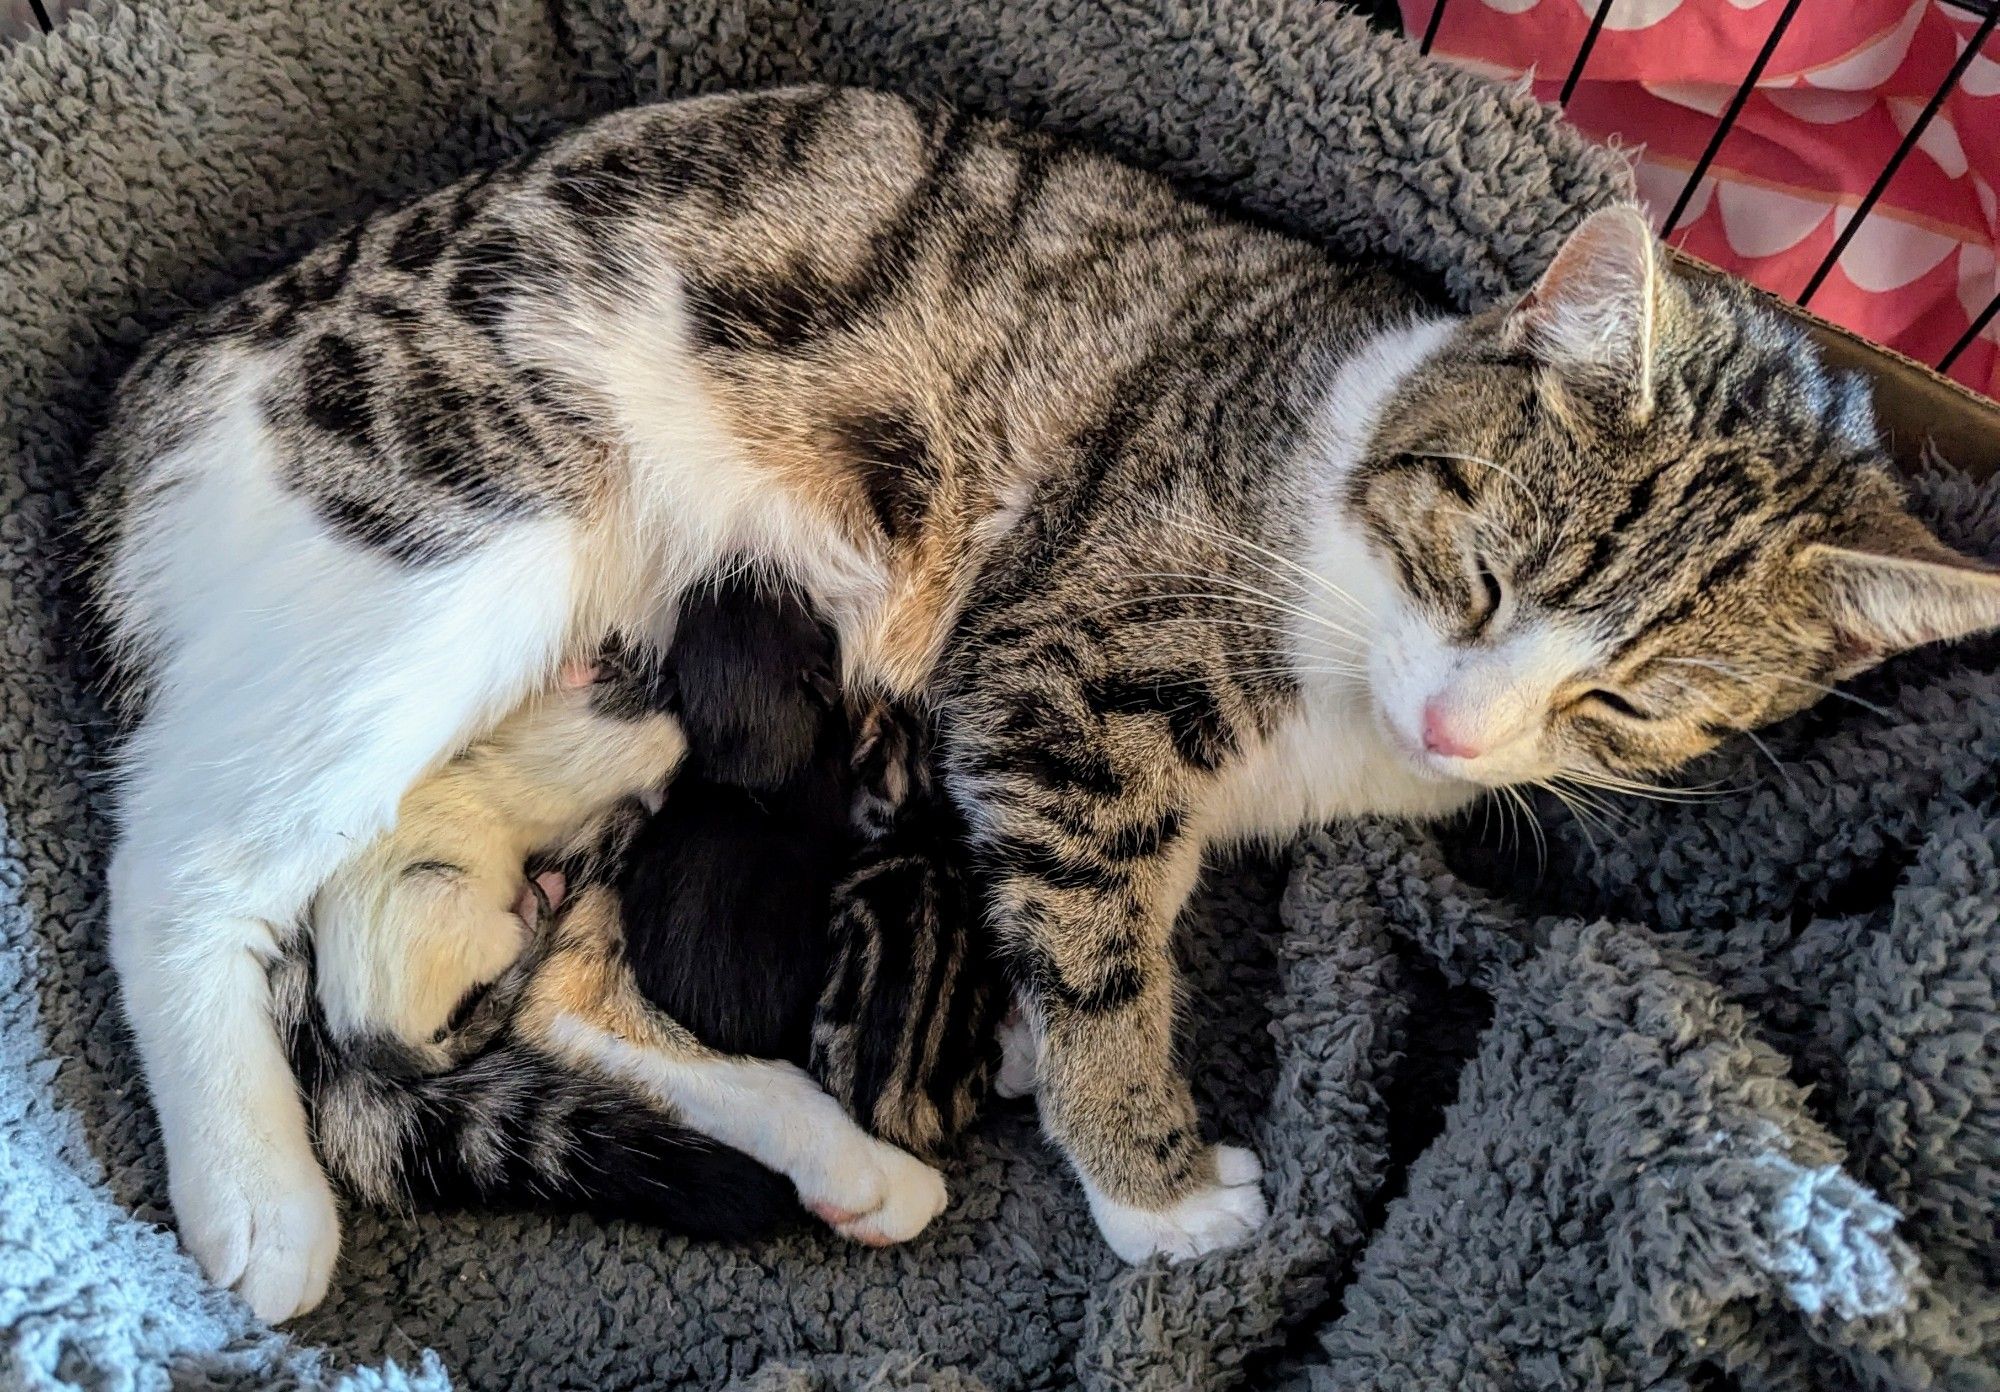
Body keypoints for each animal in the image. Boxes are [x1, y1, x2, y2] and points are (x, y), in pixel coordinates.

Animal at [90, 81, 2000, 1320]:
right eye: (1482, 575)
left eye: (1631, 700)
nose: (1462, 730)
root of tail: (173, 370)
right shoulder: (1062, 677)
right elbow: (1097, 946)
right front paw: (1152, 1181)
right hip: (450, 539)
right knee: (181, 863)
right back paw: (258, 1193)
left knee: (559, 978)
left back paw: (841, 1158)